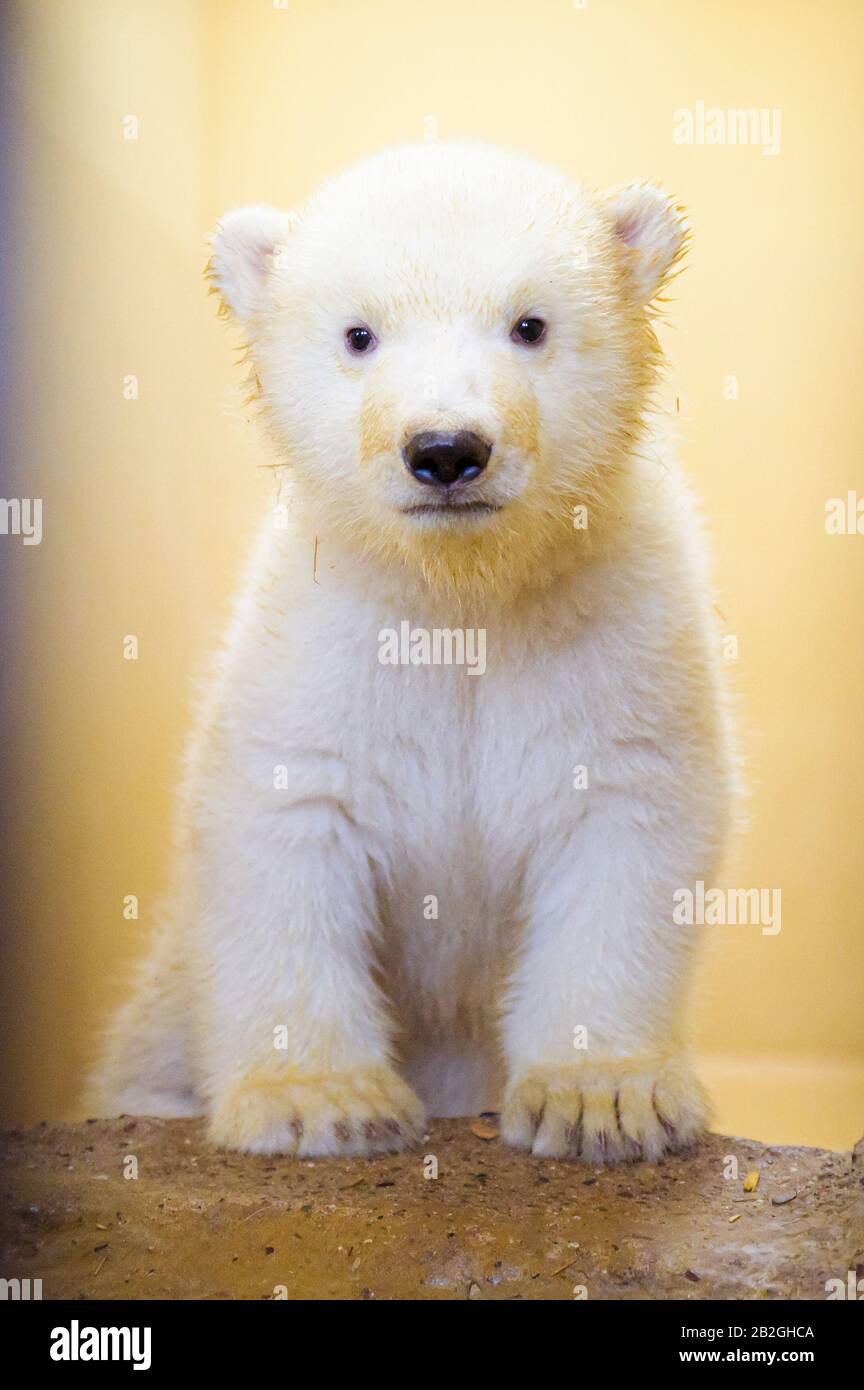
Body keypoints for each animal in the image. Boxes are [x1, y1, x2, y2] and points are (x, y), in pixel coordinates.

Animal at [95, 141, 732, 1162]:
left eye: (529, 324)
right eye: (360, 334)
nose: (445, 449)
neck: (460, 591)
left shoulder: (615, 623)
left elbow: (625, 816)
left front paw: (601, 1098)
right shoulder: (321, 645)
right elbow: (285, 824)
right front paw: (320, 1102)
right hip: (160, 1006)